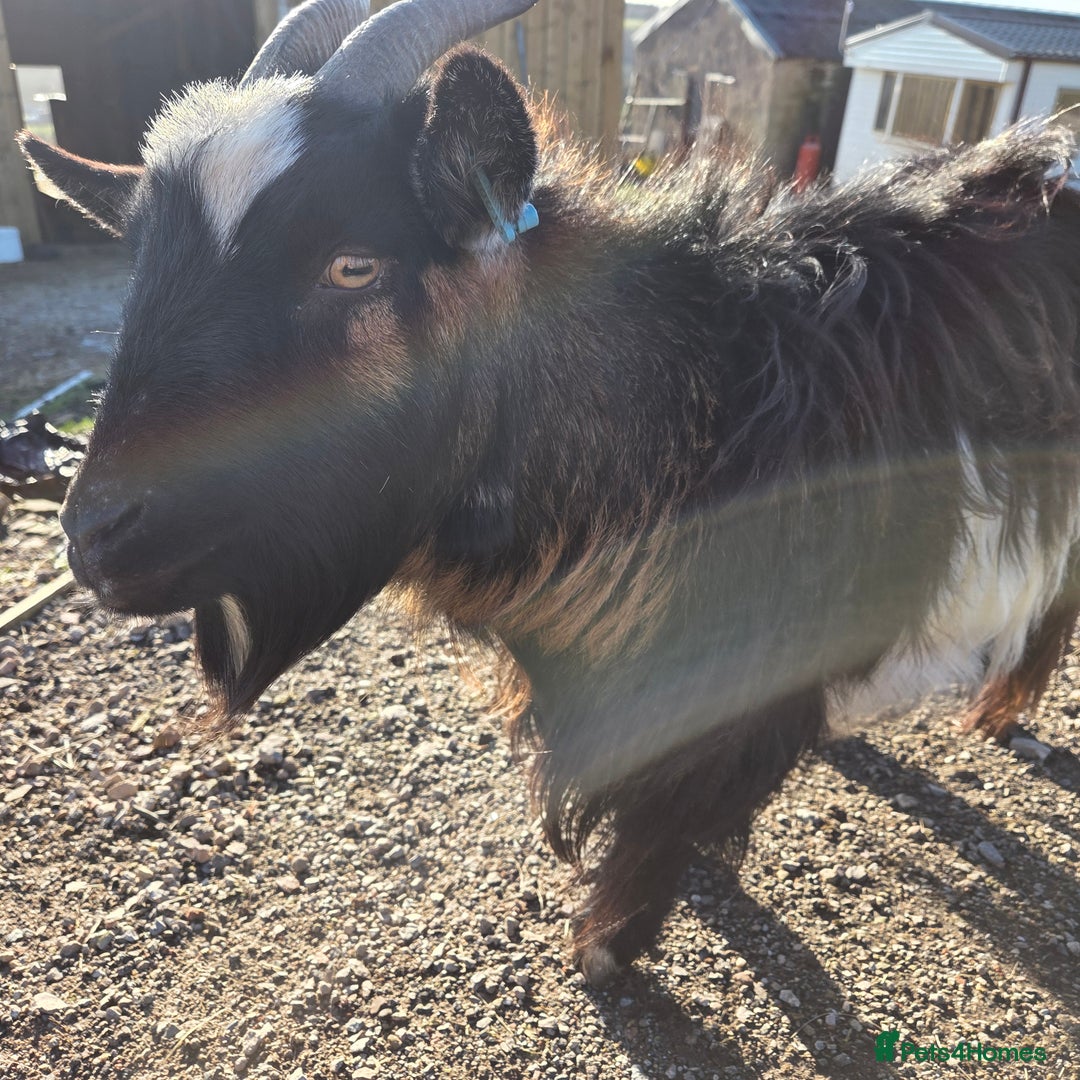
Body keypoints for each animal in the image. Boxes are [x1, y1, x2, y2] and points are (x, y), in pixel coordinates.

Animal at [19, 0, 1080, 986]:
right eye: (141, 266)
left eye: (353, 264)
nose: (94, 536)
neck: (709, 399)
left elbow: (668, 823)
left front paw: (610, 947)